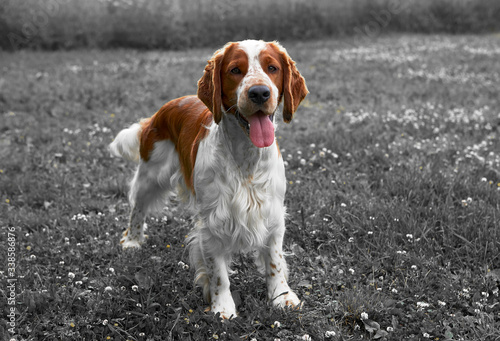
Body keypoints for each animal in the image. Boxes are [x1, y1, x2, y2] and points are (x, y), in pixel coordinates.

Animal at [110, 39, 308, 318]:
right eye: (235, 70)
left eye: (272, 68)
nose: (259, 92)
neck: (245, 159)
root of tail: (164, 108)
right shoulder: (213, 223)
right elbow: (218, 275)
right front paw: (222, 309)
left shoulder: (272, 213)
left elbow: (275, 261)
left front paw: (282, 296)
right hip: (150, 174)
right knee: (137, 207)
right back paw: (132, 241)